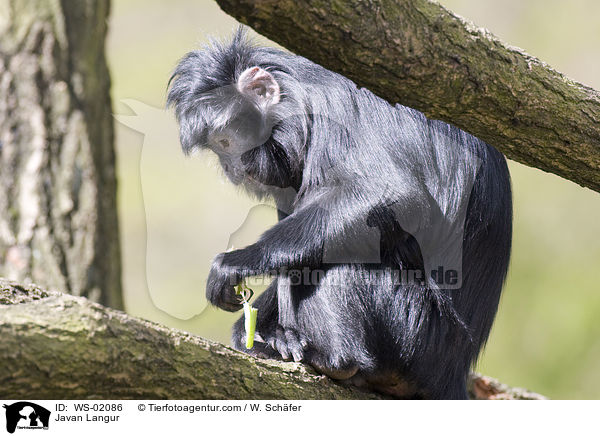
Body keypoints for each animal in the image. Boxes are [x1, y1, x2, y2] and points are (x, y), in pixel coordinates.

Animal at [168, 29, 510, 400]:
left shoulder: (333, 110)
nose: (232, 168)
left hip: (416, 333)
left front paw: (235, 264)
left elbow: (394, 195)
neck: (299, 91)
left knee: (340, 261)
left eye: (225, 142)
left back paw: (334, 361)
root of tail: (453, 370)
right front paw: (264, 332)